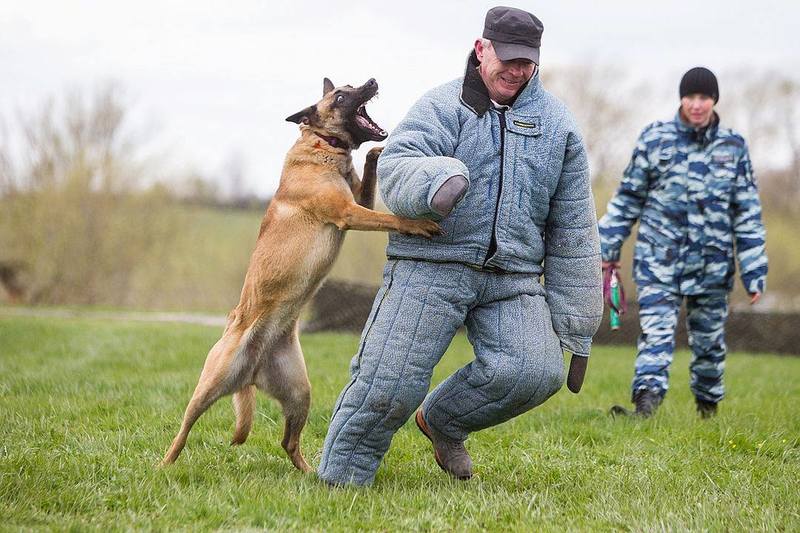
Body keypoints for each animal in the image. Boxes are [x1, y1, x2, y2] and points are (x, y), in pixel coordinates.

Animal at [159, 78, 440, 470]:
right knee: (183, 429)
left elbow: (369, 172)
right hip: (210, 385)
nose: (372, 81)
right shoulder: (348, 213)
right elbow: (391, 218)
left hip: (299, 392)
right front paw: (418, 224)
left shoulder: (358, 202)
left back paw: (308, 472)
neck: (323, 145)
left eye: (351, 86)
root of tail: (252, 372)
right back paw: (163, 465)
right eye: (341, 95)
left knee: (288, 442)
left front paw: (377, 151)